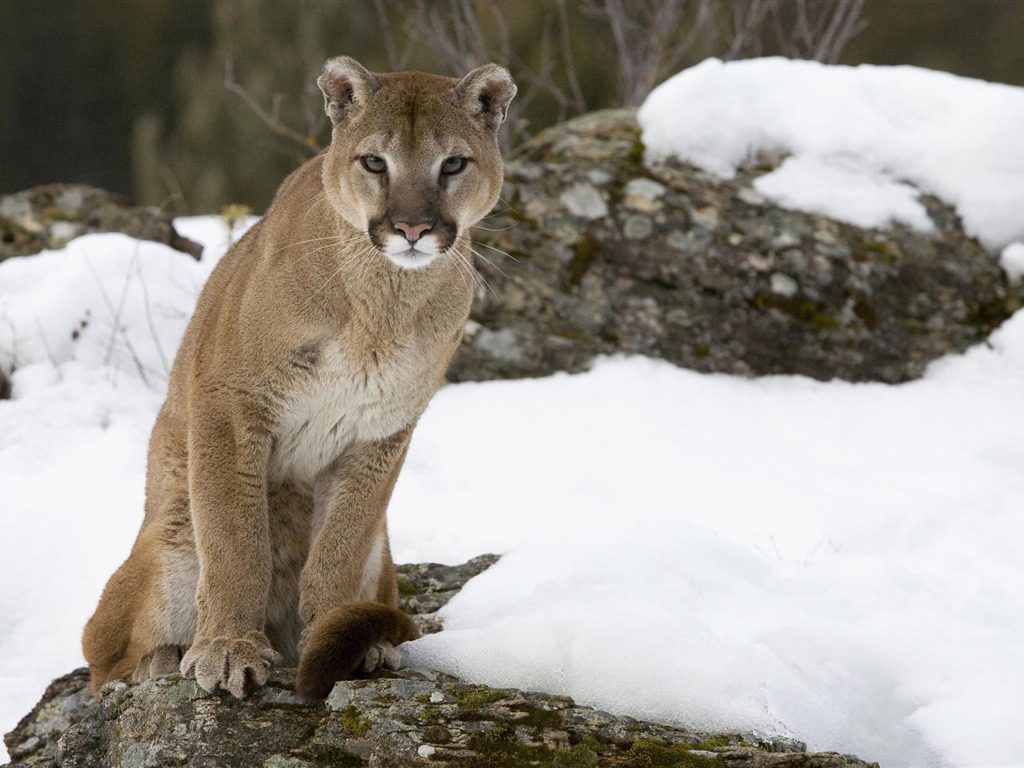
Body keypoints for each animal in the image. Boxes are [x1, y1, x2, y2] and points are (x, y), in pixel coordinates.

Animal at [80, 57, 516, 700]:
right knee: (100, 654)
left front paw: (336, 633)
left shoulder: (382, 430)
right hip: (172, 534)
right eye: (375, 163)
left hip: (382, 555)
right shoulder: (231, 403)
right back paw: (163, 659)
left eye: (454, 164)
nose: (412, 228)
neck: (380, 304)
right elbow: (237, 539)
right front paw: (228, 650)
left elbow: (340, 543)